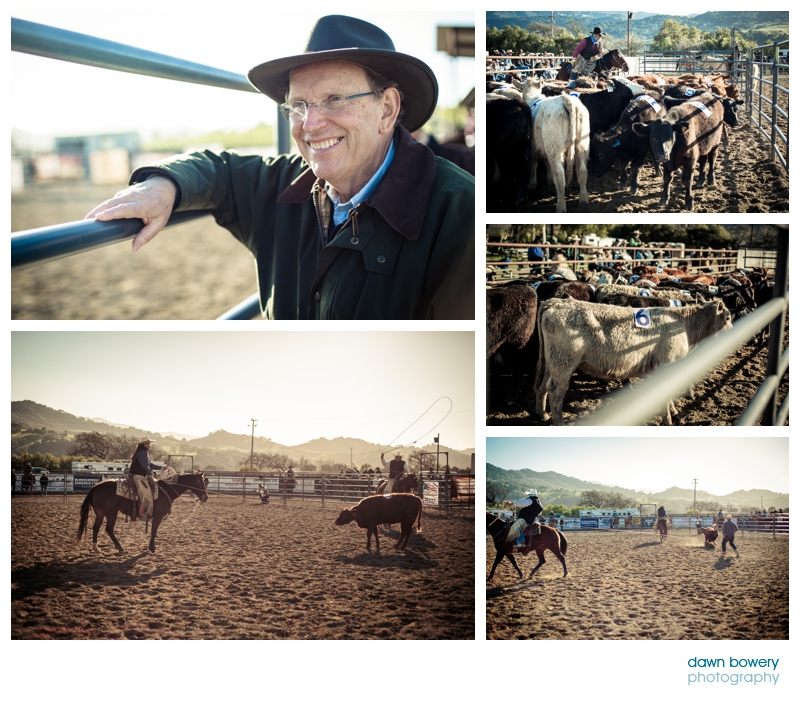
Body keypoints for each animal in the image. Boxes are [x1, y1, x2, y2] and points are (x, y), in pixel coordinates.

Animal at [74, 472, 209, 556]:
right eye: (200, 483)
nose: (206, 497)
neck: (166, 490)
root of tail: (95, 487)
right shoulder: (157, 516)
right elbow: (154, 531)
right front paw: (152, 548)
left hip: (100, 513)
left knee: (96, 528)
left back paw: (96, 549)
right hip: (111, 513)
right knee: (109, 529)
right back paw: (120, 548)